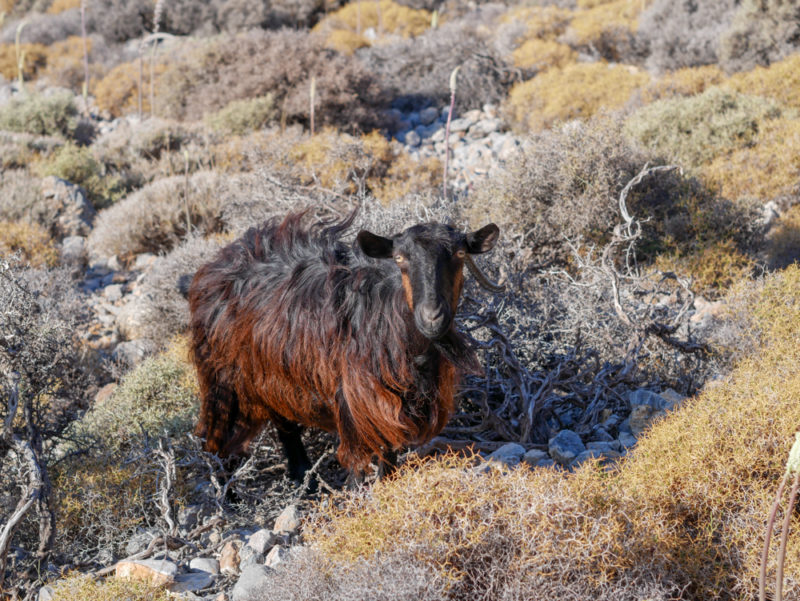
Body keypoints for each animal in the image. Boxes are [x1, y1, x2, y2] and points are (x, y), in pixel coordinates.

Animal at [188, 211, 501, 482]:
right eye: (400, 258)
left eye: (460, 254)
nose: (432, 317)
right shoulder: (353, 405)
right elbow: (356, 467)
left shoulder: (393, 409)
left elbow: (389, 463)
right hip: (222, 382)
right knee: (215, 444)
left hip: (273, 379)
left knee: (286, 430)